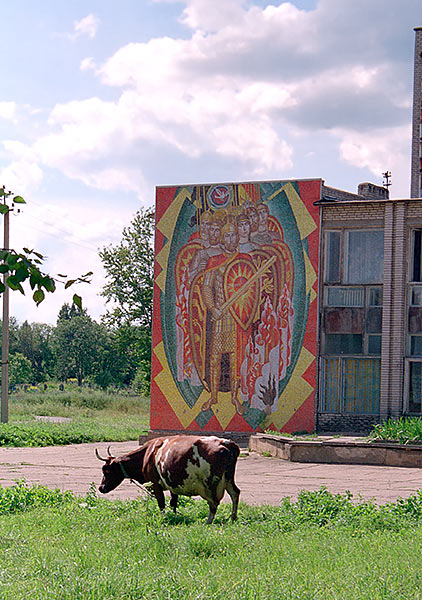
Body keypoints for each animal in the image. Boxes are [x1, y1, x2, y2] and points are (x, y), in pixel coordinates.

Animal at [95, 434, 241, 524]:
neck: (148, 454)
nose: (101, 488)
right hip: (228, 479)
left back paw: (208, 521)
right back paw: (232, 517)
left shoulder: (156, 484)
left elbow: (161, 503)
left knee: (214, 502)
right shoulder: (173, 485)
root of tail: (226, 442)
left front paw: (163, 518)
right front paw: (174, 516)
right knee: (235, 493)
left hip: (210, 483)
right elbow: (173, 503)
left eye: (106, 470)